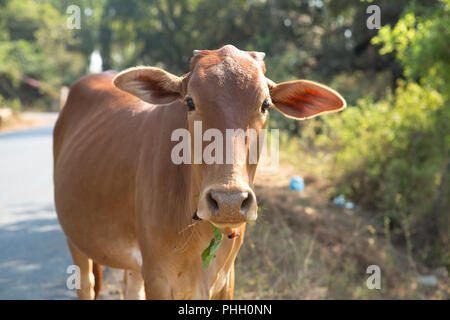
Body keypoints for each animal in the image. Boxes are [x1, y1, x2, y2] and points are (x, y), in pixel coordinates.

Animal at [54, 45, 346, 300]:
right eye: (190, 102)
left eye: (265, 104)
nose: (229, 201)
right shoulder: (158, 278)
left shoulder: (226, 280)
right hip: (76, 241)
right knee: (87, 284)